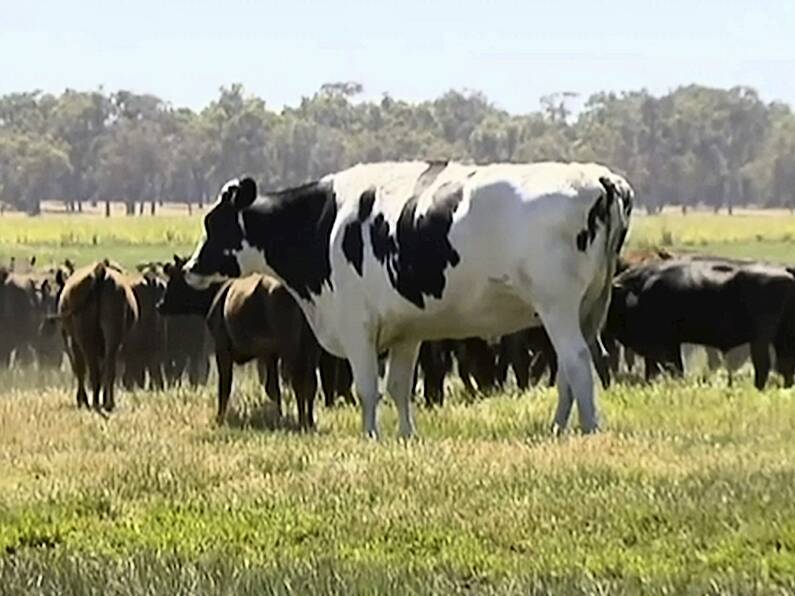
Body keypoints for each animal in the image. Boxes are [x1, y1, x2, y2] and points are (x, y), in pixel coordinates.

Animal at [55, 260, 138, 410]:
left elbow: (79, 368)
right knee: (109, 368)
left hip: (85, 338)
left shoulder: (73, 341)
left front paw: (81, 400)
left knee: (91, 368)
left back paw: (93, 402)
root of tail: (100, 271)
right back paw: (108, 403)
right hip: (112, 335)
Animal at [182, 161, 636, 436]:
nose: (189, 267)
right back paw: (559, 427)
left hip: (557, 307)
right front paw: (405, 436)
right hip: (581, 310)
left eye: (213, 223)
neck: (324, 224)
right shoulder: (407, 330)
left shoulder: (357, 325)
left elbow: (368, 388)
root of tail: (600, 178)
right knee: (572, 367)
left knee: (577, 363)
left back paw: (588, 430)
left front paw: (370, 437)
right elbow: (400, 386)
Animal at [608, 258, 795, 388]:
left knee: (764, 366)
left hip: (762, 339)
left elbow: (675, 369)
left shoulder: (666, 345)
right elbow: (652, 371)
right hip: (782, 337)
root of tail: (785, 270)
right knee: (786, 366)